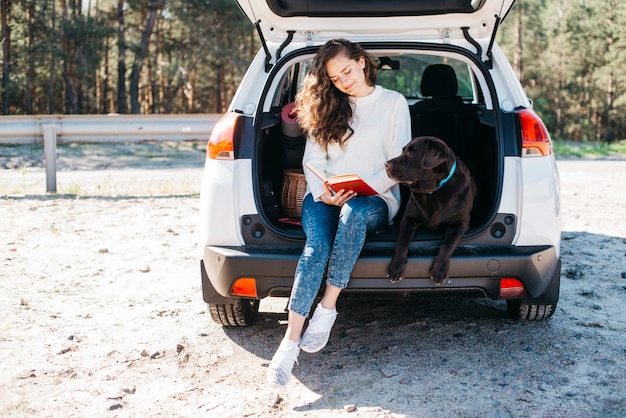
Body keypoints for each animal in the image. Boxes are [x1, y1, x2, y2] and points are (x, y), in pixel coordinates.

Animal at [382, 136, 476, 286]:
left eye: (410, 154)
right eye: (403, 151)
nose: (386, 164)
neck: (433, 190)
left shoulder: (461, 224)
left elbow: (448, 245)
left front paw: (439, 270)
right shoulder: (408, 219)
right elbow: (401, 242)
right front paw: (396, 267)